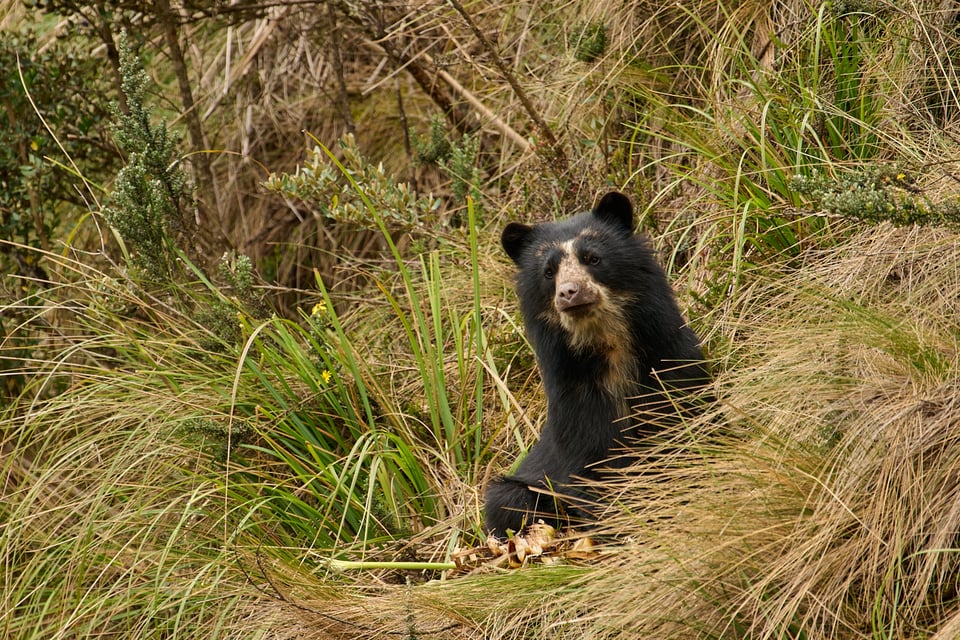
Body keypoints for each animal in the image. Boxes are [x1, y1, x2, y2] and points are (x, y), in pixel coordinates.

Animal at [484, 192, 708, 536]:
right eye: (549, 272)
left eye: (592, 258)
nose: (569, 293)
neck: (608, 348)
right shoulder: (574, 394)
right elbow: (591, 464)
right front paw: (620, 524)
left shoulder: (670, 359)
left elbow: (684, 419)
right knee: (508, 502)